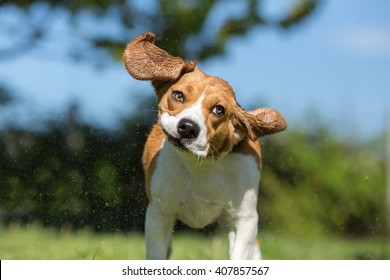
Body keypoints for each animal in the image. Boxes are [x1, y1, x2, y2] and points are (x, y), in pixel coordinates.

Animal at [122, 31, 286, 260]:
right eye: (178, 95)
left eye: (219, 110)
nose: (188, 127)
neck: (200, 166)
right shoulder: (159, 214)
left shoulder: (245, 218)